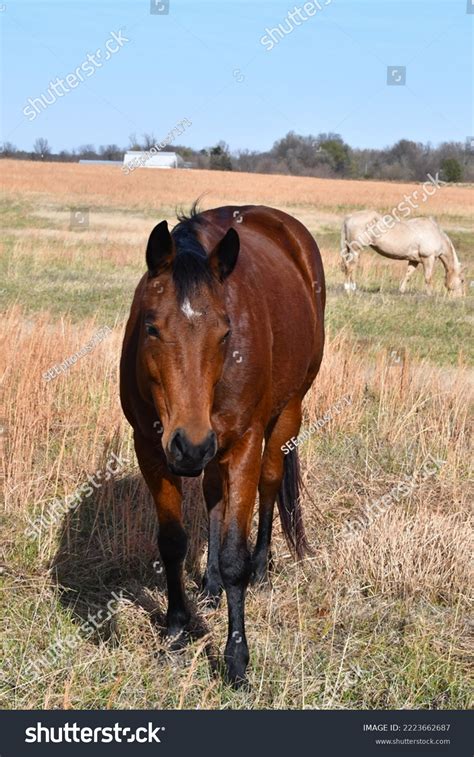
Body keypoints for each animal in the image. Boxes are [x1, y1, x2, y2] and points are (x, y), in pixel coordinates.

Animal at [120, 204, 324, 688]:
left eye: (225, 331)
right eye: (151, 327)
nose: (188, 445)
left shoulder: (243, 443)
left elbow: (235, 556)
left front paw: (236, 660)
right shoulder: (151, 449)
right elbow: (173, 543)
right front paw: (176, 630)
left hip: (287, 411)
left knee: (270, 483)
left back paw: (264, 568)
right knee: (214, 496)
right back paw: (211, 587)